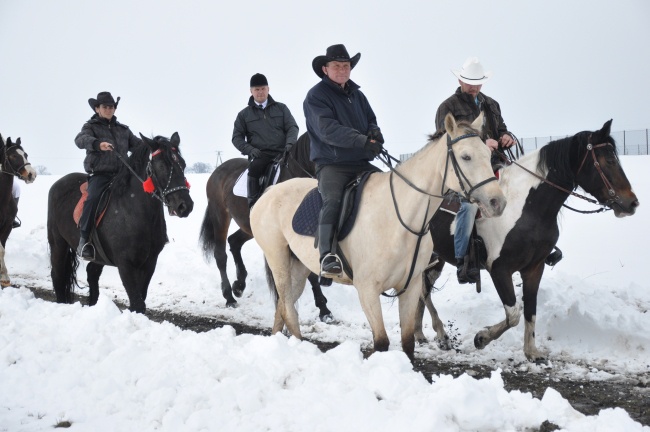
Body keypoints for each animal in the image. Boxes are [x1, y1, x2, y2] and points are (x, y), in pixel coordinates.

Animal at [47, 133, 192, 312]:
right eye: (161, 166)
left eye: (183, 164)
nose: (185, 206)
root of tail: (57, 184)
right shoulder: (125, 265)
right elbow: (138, 304)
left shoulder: (150, 262)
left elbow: (141, 299)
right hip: (58, 244)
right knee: (58, 275)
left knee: (91, 274)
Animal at [197, 132, 332, 320]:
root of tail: (217, 171)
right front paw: (321, 309)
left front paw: (323, 308)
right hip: (220, 216)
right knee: (221, 255)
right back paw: (229, 297)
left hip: (250, 227)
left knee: (234, 242)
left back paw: (239, 285)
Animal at [249, 113, 506, 360]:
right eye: (466, 157)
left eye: (488, 154)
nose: (498, 202)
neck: (399, 218)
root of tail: (270, 191)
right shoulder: (367, 290)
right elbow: (382, 342)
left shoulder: (411, 286)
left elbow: (408, 342)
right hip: (279, 260)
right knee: (288, 308)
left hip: (299, 267)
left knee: (283, 306)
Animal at [412, 120, 636, 362]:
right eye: (609, 160)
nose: (632, 203)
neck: (525, 208)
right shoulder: (499, 269)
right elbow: (513, 314)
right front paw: (481, 337)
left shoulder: (534, 268)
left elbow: (530, 309)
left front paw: (531, 351)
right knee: (423, 292)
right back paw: (441, 334)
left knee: (420, 290)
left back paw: (420, 334)